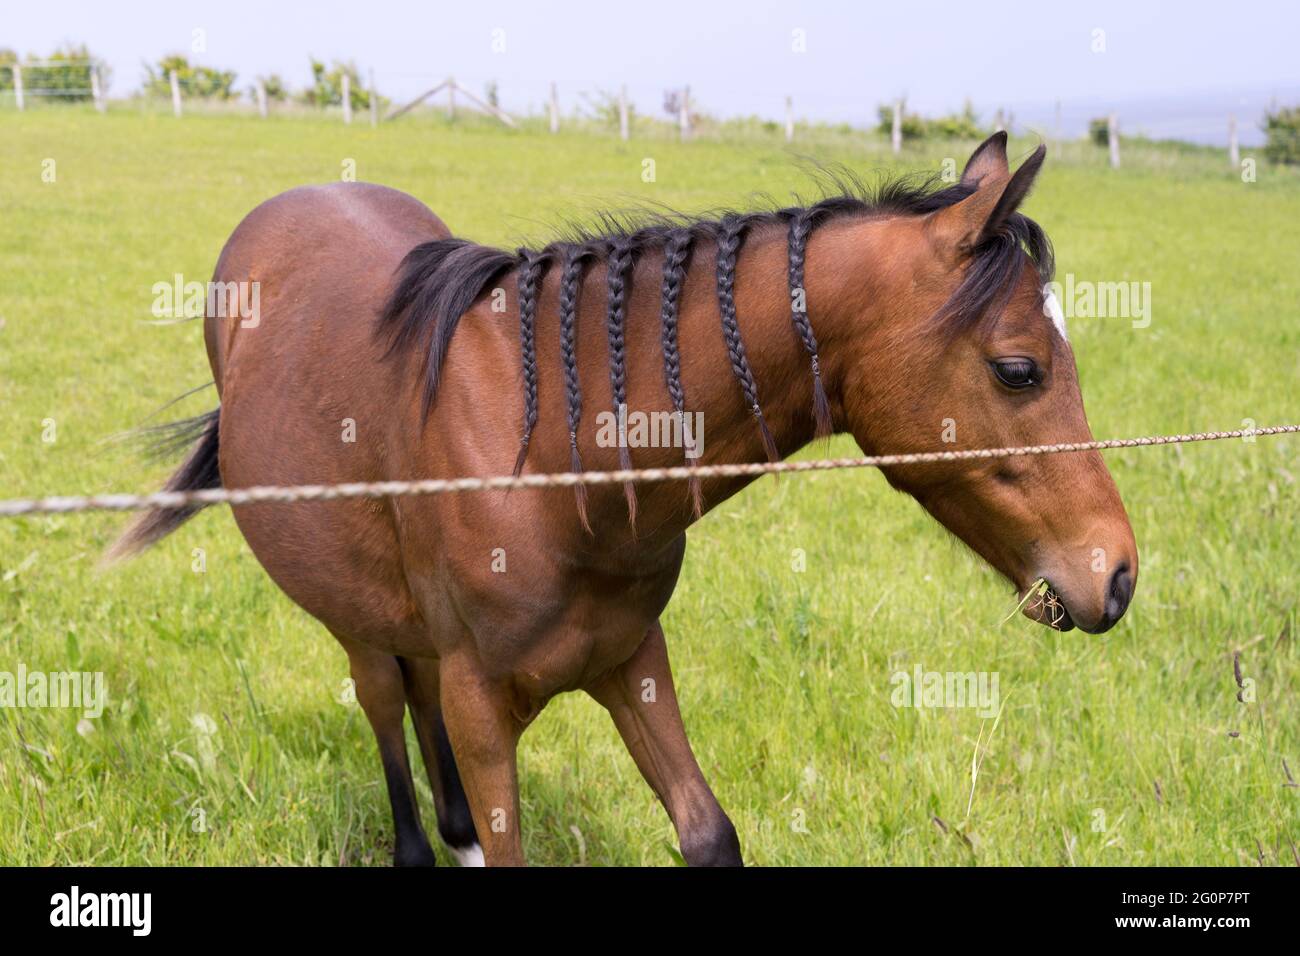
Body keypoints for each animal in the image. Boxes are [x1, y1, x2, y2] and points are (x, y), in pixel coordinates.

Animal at [110, 132, 1137, 866]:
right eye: (1018, 369)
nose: (1117, 575)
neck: (557, 470)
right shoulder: (485, 706)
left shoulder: (631, 657)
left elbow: (708, 832)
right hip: (352, 618)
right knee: (386, 705)